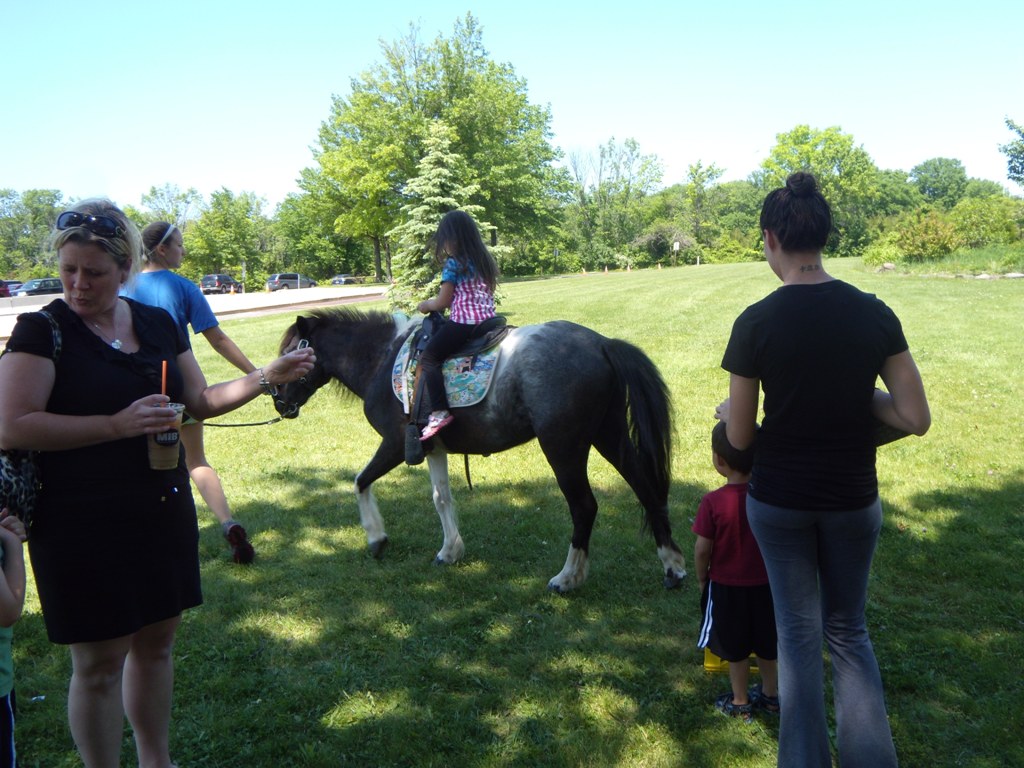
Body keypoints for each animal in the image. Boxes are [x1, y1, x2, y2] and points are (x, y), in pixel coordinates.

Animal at [274, 308, 687, 593]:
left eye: (292, 352)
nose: (278, 402)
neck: (382, 359)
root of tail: (602, 342)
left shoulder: (394, 445)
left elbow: (360, 481)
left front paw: (376, 539)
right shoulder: (432, 448)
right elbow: (441, 498)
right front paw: (450, 552)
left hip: (563, 447)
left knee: (584, 507)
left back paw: (567, 578)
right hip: (608, 435)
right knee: (645, 487)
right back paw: (672, 567)